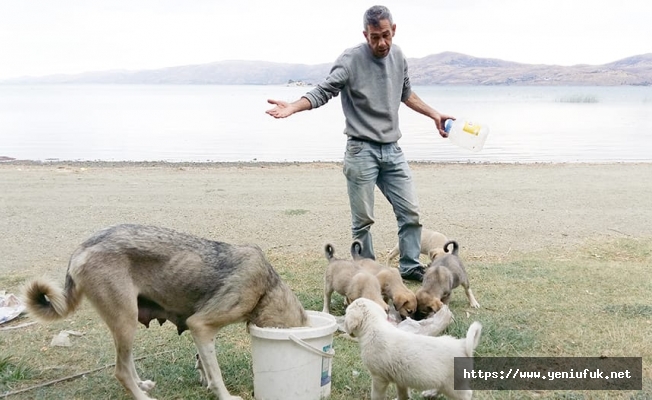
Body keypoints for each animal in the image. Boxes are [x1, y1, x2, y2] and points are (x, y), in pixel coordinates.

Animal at [23, 223, 308, 398]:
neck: (266, 287)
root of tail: (80, 249)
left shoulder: (200, 332)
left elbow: (205, 365)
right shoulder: (200, 325)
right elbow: (216, 374)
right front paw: (226, 396)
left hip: (125, 323)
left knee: (126, 362)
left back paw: (142, 385)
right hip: (125, 321)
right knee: (120, 370)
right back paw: (142, 397)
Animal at [344, 298, 482, 398]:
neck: (374, 327)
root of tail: (463, 345)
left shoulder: (379, 378)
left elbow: (377, 395)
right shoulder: (400, 380)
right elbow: (403, 395)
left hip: (453, 385)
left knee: (466, 394)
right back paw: (429, 393)